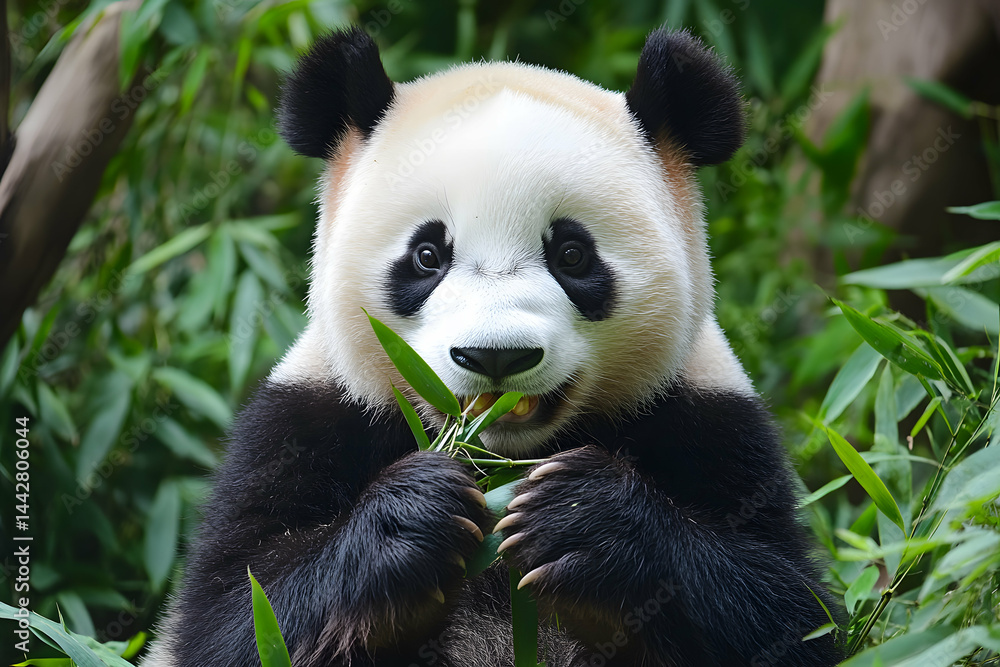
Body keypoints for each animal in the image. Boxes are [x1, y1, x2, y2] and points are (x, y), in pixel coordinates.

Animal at [142, 26, 843, 667]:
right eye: (427, 255)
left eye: (571, 254)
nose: (496, 357)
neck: (505, 459)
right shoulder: (306, 419)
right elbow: (235, 617)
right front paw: (415, 517)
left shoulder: (711, 421)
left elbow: (787, 613)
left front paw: (582, 519)